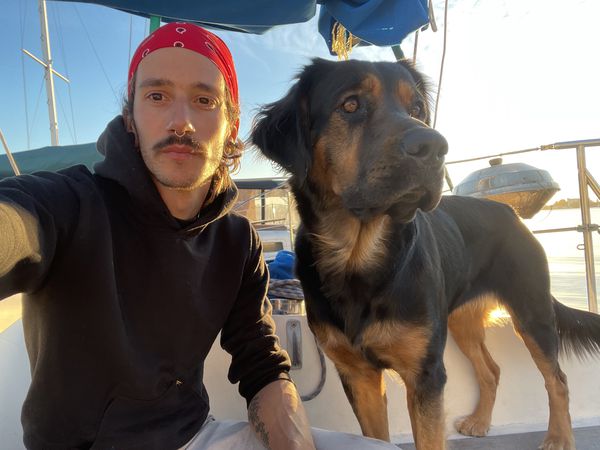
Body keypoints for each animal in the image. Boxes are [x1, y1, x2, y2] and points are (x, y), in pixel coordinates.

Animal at [251, 58, 600, 449]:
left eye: (417, 109)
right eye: (351, 105)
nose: (434, 145)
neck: (359, 259)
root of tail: (509, 213)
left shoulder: (426, 374)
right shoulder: (358, 374)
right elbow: (376, 435)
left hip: (531, 313)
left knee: (558, 379)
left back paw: (559, 437)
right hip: (462, 321)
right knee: (491, 370)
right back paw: (480, 421)